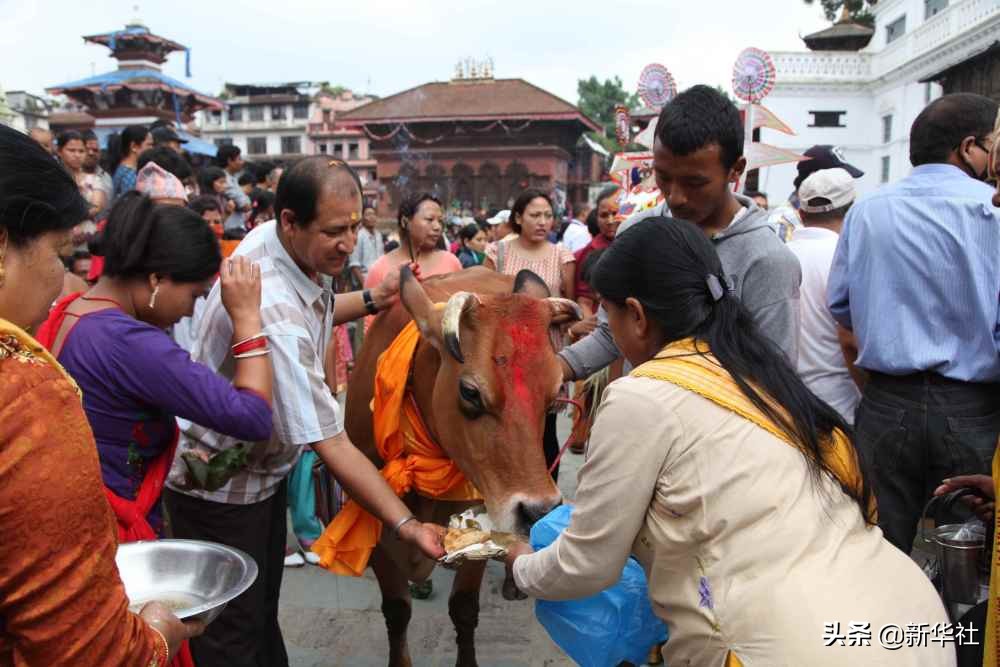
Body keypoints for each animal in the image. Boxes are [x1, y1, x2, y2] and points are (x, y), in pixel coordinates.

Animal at [346, 268, 580, 667]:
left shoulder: (483, 516)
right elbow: (396, 611)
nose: (539, 510)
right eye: (470, 392)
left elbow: (464, 608)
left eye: (553, 396)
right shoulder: (370, 521)